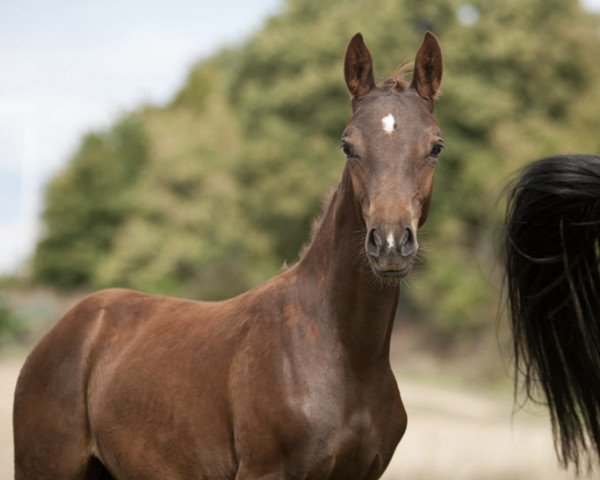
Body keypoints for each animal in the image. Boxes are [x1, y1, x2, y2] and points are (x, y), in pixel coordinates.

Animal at [12, 33, 446, 480]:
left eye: (436, 146)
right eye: (348, 146)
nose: (390, 243)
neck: (346, 356)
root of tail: (62, 330)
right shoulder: (263, 470)